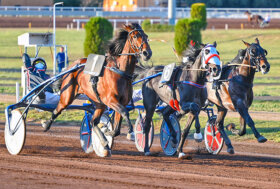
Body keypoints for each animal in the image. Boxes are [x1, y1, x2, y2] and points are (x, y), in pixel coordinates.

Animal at [42, 23, 151, 155]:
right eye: (135, 36)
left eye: (146, 36)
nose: (147, 53)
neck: (120, 71)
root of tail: (75, 65)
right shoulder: (111, 100)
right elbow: (125, 112)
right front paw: (130, 133)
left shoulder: (121, 102)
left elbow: (118, 125)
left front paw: (109, 132)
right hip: (67, 95)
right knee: (58, 109)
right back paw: (46, 124)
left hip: (99, 103)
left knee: (93, 122)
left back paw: (104, 143)